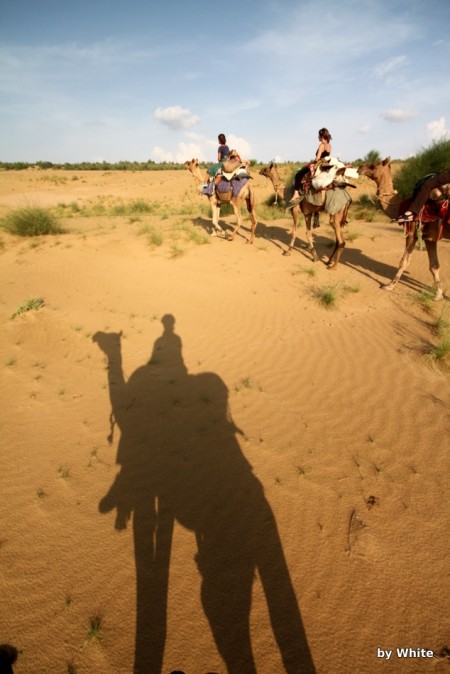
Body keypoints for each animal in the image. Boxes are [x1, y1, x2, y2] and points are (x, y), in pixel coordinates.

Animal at [356, 158, 448, 300]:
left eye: (374, 165)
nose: (359, 168)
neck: (400, 206)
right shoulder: (429, 238)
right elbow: (434, 266)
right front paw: (438, 295)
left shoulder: (411, 233)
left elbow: (403, 262)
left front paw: (389, 286)